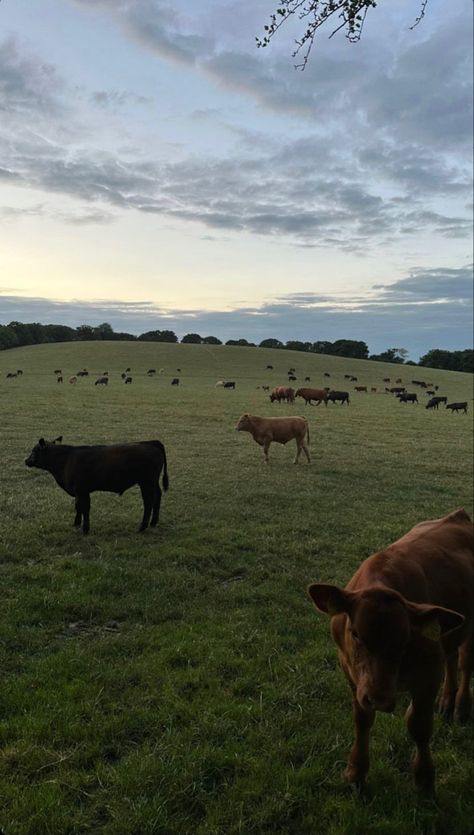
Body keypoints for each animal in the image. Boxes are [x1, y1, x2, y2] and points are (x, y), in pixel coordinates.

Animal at [25, 438, 169, 536]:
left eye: (34, 450)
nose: (26, 460)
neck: (65, 460)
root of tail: (149, 442)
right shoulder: (79, 492)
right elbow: (78, 506)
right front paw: (76, 524)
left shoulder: (82, 490)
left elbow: (84, 508)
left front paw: (85, 529)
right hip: (153, 482)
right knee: (158, 496)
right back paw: (153, 522)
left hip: (146, 482)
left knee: (148, 501)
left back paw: (142, 527)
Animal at [306, 512, 472, 792]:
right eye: (355, 633)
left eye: (405, 640)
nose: (380, 699)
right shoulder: (352, 673)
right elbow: (362, 720)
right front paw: (356, 771)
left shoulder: (428, 675)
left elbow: (418, 725)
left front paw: (424, 777)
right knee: (451, 659)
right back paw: (446, 701)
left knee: (464, 664)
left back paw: (460, 707)